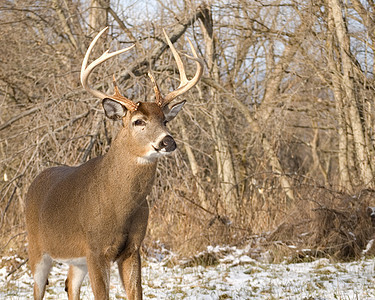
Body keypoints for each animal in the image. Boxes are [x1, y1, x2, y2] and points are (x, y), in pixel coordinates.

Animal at [24, 26, 203, 300]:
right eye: (138, 121)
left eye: (165, 120)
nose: (168, 141)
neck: (120, 206)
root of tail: (34, 182)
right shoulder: (96, 248)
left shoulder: (133, 248)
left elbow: (136, 293)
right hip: (37, 247)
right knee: (38, 289)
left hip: (76, 260)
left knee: (70, 284)